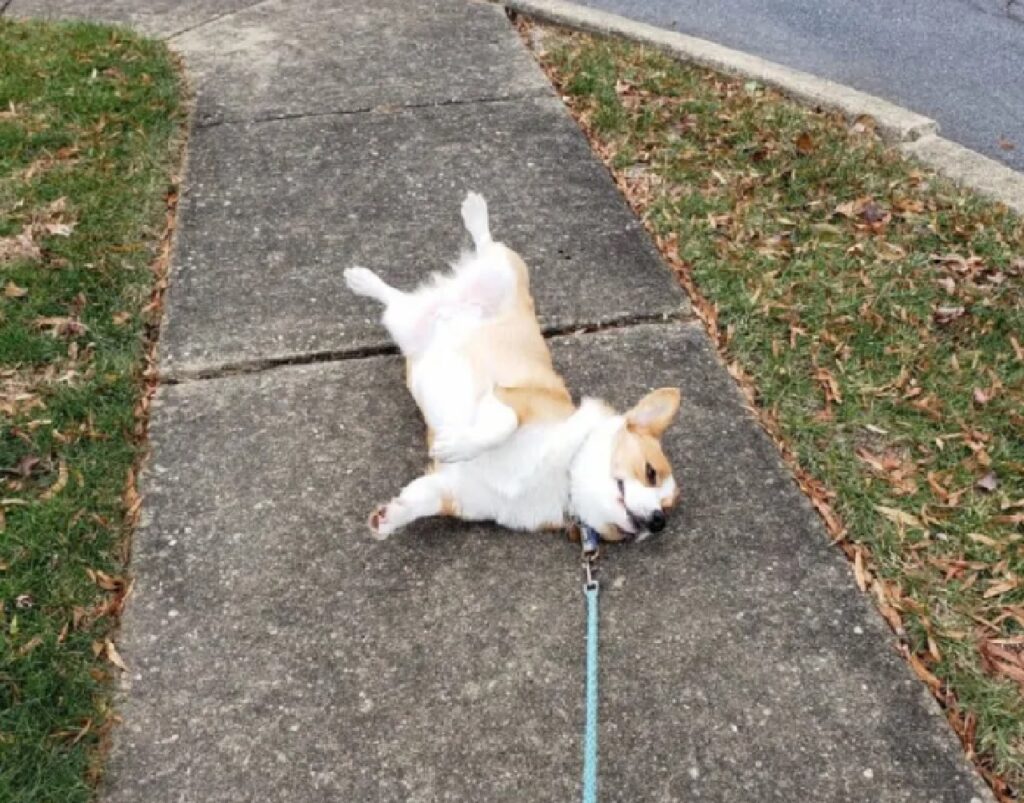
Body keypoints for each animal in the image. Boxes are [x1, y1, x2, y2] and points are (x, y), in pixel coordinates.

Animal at [344, 193, 679, 540]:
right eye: (650, 473)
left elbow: (420, 500)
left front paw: (388, 520)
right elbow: (501, 426)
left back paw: (364, 281)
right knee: (487, 243)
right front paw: (458, 445)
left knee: (395, 298)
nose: (658, 522)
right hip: (503, 269)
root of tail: (445, 302)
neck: (563, 475)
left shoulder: (455, 490)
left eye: (667, 508)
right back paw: (469, 215)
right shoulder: (509, 400)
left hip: (403, 321)